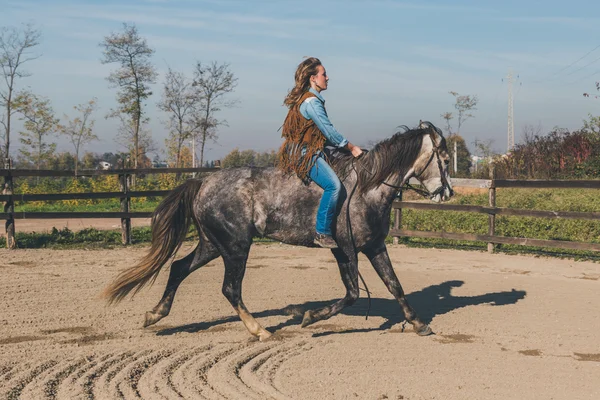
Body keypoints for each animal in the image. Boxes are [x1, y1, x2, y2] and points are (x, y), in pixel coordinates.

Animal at [104, 122, 450, 340]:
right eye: (445, 159)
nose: (447, 193)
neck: (366, 188)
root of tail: (203, 181)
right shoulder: (345, 249)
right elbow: (352, 293)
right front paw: (309, 317)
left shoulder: (375, 246)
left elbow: (395, 285)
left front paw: (419, 324)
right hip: (236, 247)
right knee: (230, 289)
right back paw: (260, 331)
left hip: (212, 244)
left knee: (177, 268)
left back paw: (155, 314)